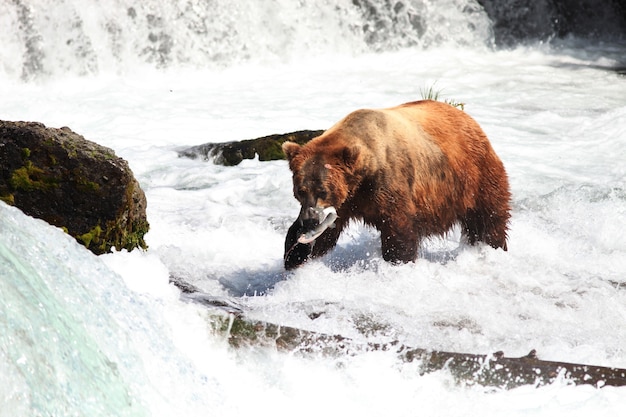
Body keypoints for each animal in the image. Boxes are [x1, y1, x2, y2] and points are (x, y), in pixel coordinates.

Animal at [282, 100, 508, 270]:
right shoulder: (347, 199)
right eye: (300, 190)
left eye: (323, 190)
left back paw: (493, 248)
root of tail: (468, 118)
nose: (310, 220)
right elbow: (325, 234)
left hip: (473, 176)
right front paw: (296, 256)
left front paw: (398, 262)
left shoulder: (388, 182)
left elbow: (397, 226)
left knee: (489, 216)